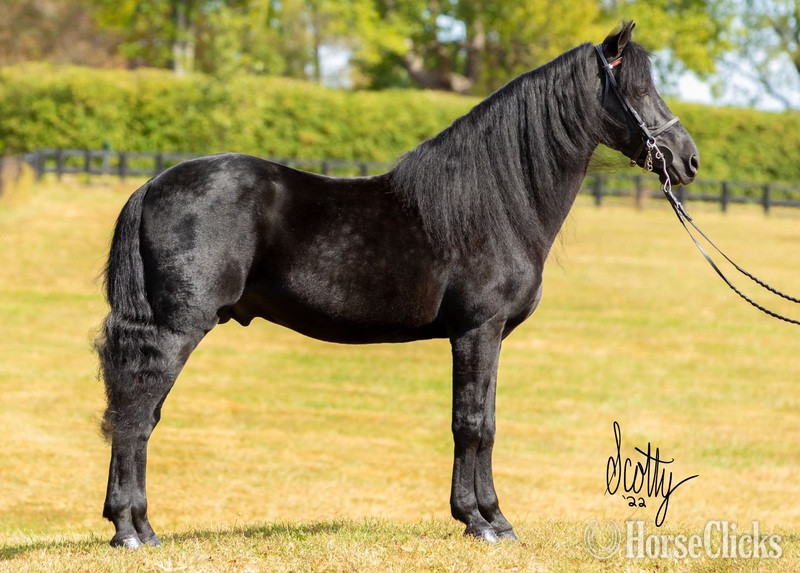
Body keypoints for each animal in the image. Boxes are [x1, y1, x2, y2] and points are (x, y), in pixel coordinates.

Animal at [96, 21, 699, 548]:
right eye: (637, 90)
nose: (688, 160)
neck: (497, 203)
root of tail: (152, 184)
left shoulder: (488, 336)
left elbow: (484, 421)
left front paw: (487, 518)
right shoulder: (477, 331)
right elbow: (472, 424)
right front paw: (484, 522)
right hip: (177, 329)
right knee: (135, 413)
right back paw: (132, 530)